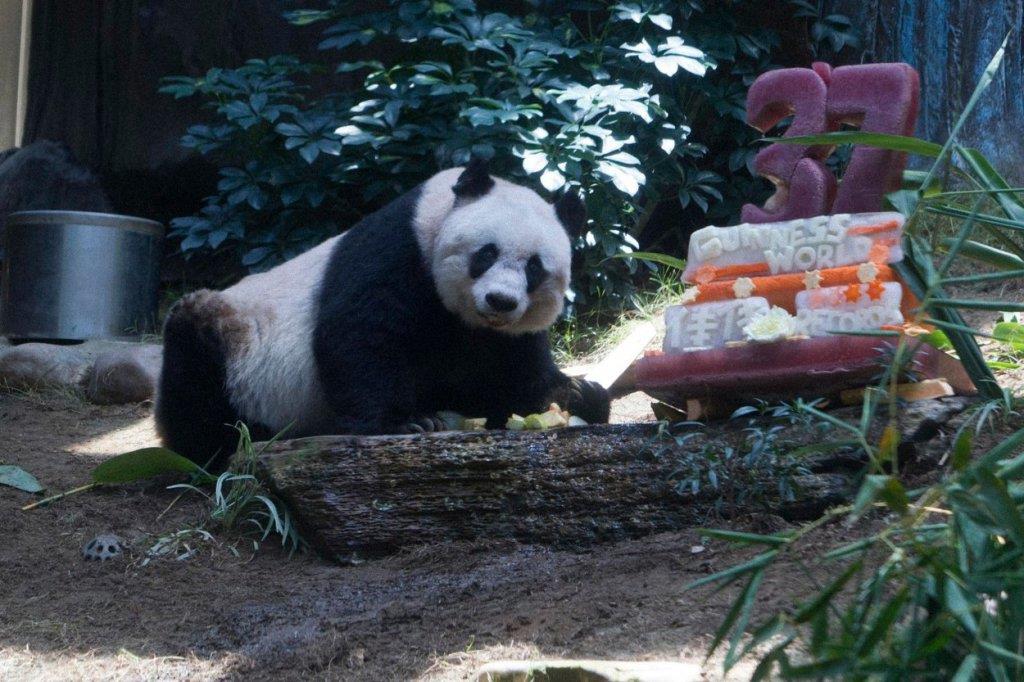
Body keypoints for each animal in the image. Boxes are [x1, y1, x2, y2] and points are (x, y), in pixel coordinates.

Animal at [155, 159, 611, 469]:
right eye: (486, 253)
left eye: (534, 268)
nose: (500, 301)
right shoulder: (397, 249)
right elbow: (361, 334)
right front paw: (405, 423)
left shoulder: (502, 334)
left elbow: (512, 371)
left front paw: (578, 394)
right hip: (236, 342)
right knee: (195, 374)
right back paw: (220, 447)